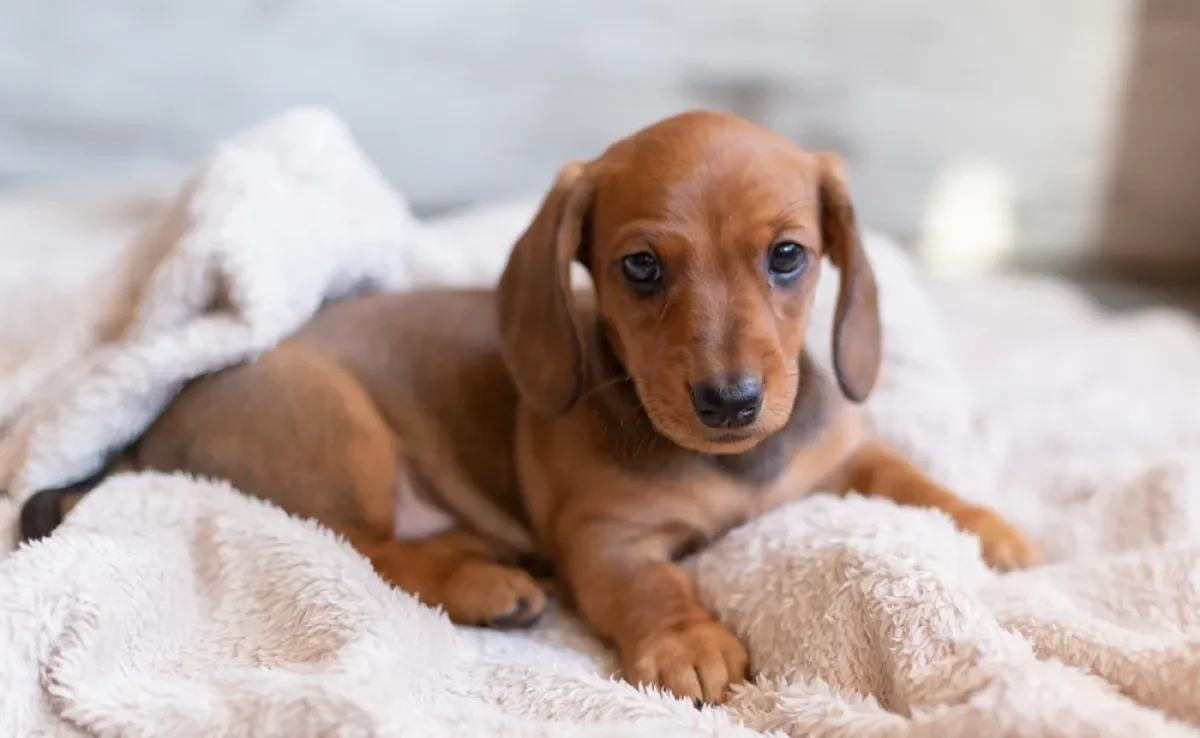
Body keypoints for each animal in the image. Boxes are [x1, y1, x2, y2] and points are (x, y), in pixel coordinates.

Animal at [23, 109, 1046, 705]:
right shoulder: (604, 537)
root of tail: (152, 429)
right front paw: (687, 641)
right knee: (361, 545)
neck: (728, 469)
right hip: (335, 425)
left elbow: (908, 476)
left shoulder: (840, 457)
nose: (730, 402)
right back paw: (484, 582)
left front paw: (987, 523)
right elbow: (649, 586)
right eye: (642, 267)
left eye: (788, 256)